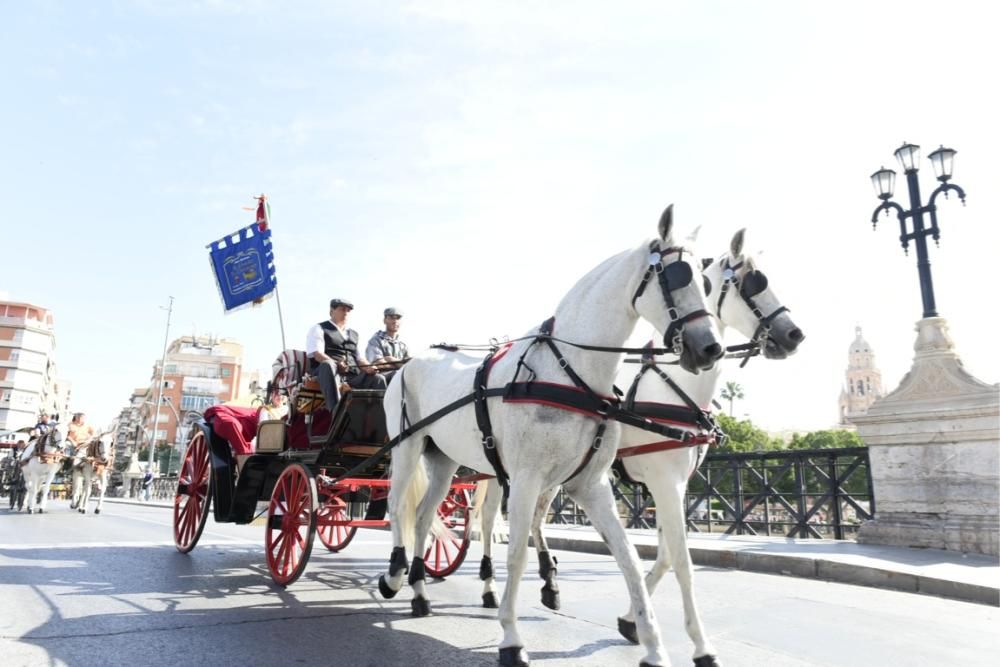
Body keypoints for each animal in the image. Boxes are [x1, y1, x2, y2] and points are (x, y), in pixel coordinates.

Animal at [378, 205, 724, 667]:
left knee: (422, 515)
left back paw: (418, 593)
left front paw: (651, 641)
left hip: (444, 461)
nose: (710, 348)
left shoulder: (590, 485)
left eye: (707, 282)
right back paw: (395, 575)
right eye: (677, 275)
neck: (570, 372)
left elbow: (630, 558)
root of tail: (409, 362)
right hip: (407, 447)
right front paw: (510, 637)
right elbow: (517, 554)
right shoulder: (527, 479)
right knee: (397, 507)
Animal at [474, 230, 804, 667]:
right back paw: (490, 588)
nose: (793, 334)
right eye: (750, 284)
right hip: (501, 472)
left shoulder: (673, 484)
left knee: (535, 519)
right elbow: (679, 559)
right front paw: (697, 644)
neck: (674, 387)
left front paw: (633, 619)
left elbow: (663, 555)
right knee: (487, 521)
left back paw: (549, 582)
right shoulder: (664, 479)